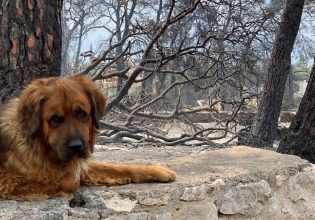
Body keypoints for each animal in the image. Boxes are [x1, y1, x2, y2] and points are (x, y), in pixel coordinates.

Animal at [0, 75, 177, 200]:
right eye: (55, 119)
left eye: (81, 114)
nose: (76, 147)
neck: (40, 147)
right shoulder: (7, 181)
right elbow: (70, 181)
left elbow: (117, 167)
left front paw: (157, 170)